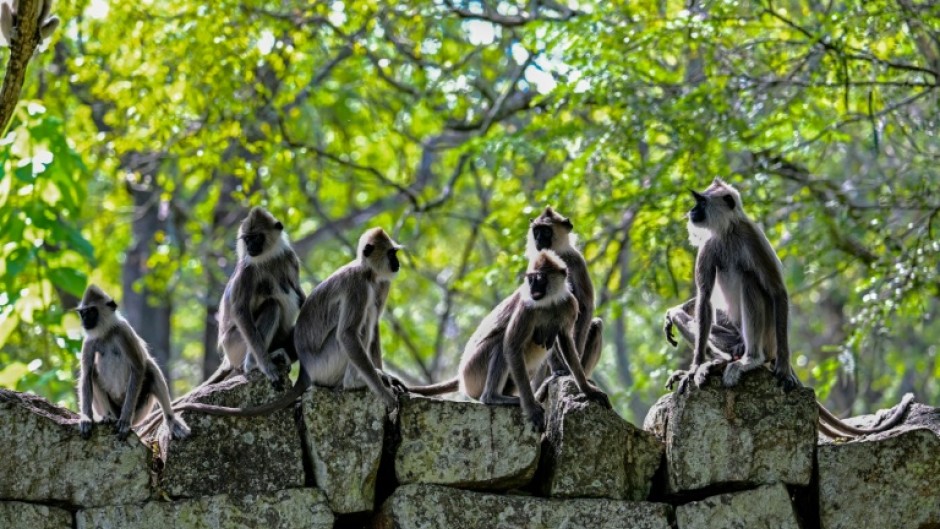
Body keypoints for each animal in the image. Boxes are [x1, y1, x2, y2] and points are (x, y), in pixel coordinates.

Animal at [75, 285, 190, 441]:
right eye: (83, 313)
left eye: (92, 311)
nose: (85, 320)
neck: (106, 333)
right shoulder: (89, 341)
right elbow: (86, 374)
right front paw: (86, 418)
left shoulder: (123, 331)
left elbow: (139, 367)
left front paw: (124, 421)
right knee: (93, 374)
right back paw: (108, 417)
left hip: (139, 412)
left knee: (150, 368)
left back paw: (171, 421)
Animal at [167, 227, 406, 417]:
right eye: (391, 253)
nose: (397, 263)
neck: (366, 272)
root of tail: (306, 371)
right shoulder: (358, 286)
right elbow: (348, 334)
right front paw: (385, 395)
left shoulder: (377, 285)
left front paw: (385, 376)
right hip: (325, 362)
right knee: (356, 330)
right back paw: (353, 383)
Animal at [410, 250, 611, 431]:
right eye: (531, 279)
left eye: (540, 278)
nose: (533, 288)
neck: (548, 302)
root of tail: (461, 375)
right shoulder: (527, 307)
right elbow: (512, 346)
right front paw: (531, 409)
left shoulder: (568, 304)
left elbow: (566, 342)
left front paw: (587, 390)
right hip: (473, 371)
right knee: (501, 343)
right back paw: (493, 397)